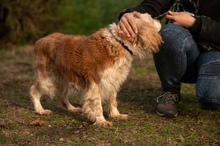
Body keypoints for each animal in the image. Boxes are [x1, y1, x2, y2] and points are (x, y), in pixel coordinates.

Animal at [29, 13, 163, 126]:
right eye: (152, 18)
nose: (159, 20)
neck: (119, 42)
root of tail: (39, 40)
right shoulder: (95, 83)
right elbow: (97, 105)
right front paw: (101, 121)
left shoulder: (113, 81)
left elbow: (113, 100)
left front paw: (116, 115)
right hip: (47, 80)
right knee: (34, 90)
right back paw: (40, 110)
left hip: (64, 79)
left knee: (61, 95)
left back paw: (72, 108)